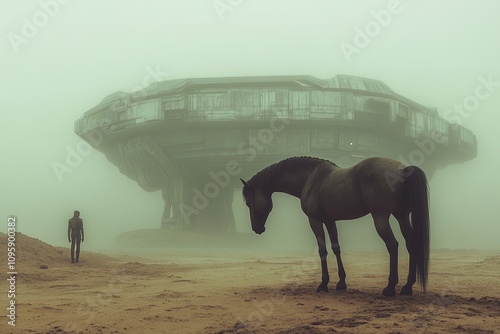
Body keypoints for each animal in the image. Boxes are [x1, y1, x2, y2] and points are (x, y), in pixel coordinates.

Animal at [240, 157, 428, 298]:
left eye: (249, 203)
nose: (256, 228)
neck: (310, 178)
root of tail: (403, 169)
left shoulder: (314, 220)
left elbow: (322, 250)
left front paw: (323, 284)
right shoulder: (329, 221)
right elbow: (336, 248)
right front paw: (341, 282)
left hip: (381, 218)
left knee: (393, 245)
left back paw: (390, 287)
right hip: (401, 216)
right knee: (411, 244)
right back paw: (407, 287)